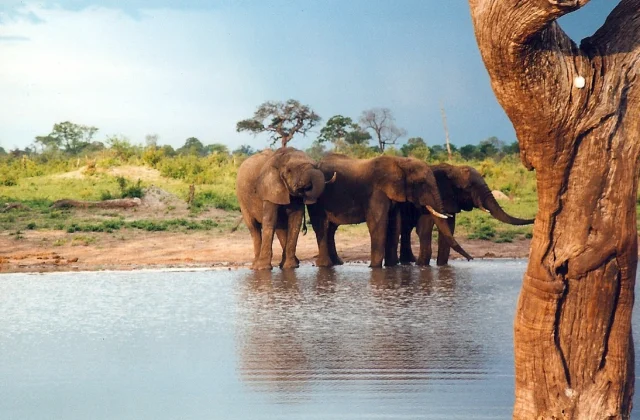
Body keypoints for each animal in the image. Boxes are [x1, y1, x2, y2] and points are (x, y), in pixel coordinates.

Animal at [307, 154, 472, 268]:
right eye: (421, 183)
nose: (471, 259)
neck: (400, 162)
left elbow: (395, 224)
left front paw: (391, 267)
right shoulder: (377, 192)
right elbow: (378, 224)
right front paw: (374, 268)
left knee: (331, 229)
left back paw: (336, 264)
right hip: (316, 200)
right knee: (322, 226)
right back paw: (325, 265)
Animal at [395, 163, 535, 266]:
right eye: (468, 187)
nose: (470, 259)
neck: (453, 169)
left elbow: (448, 230)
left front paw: (442, 266)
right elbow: (425, 228)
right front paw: (422, 266)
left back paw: (408, 262)